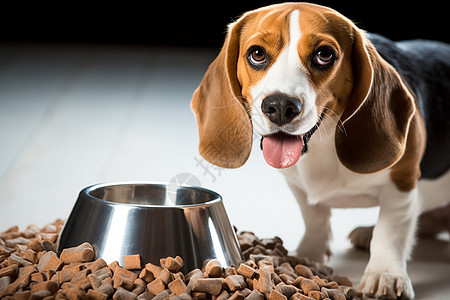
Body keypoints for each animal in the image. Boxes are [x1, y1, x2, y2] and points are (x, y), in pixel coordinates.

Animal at [191, 2, 450, 300]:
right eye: (256, 54)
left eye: (324, 55)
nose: (280, 106)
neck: (322, 143)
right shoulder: (298, 185)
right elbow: (313, 215)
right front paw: (308, 255)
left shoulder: (402, 183)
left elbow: (391, 230)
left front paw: (385, 274)